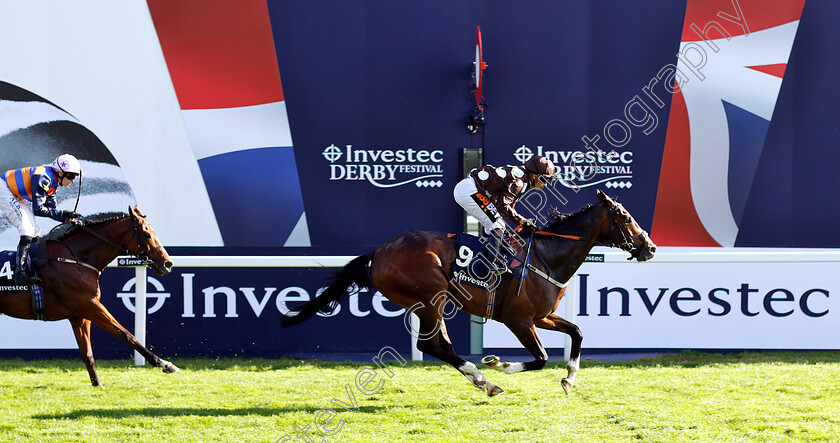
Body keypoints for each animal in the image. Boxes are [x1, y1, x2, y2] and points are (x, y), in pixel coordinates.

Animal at [0, 206, 177, 386]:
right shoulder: (90, 306)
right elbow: (126, 334)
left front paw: (97, 383)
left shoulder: (79, 315)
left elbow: (87, 353)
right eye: (147, 234)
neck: (75, 260)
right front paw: (164, 363)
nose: (167, 263)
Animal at [282, 189, 656, 398]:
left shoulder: (542, 315)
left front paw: (569, 380)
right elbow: (540, 358)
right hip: (429, 296)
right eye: (624, 216)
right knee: (430, 345)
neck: (546, 257)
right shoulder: (518, 319)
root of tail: (379, 252)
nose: (650, 247)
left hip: (430, 304)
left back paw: (481, 380)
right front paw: (499, 363)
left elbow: (576, 332)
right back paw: (485, 377)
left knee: (440, 345)